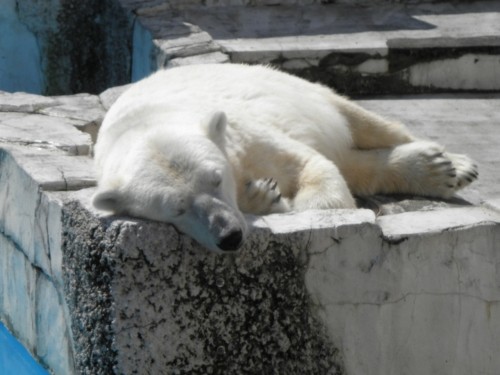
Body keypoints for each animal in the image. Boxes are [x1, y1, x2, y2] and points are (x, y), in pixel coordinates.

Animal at [92, 64, 478, 253]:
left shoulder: (243, 136)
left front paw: (282, 200)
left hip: (292, 87)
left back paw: (450, 166)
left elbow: (311, 168)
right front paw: (265, 196)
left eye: (216, 178)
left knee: (359, 121)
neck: (146, 123)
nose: (230, 236)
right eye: (176, 208)